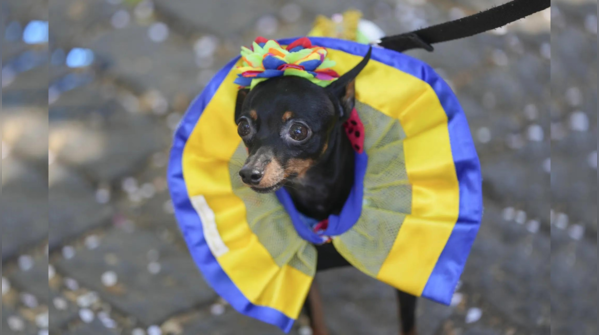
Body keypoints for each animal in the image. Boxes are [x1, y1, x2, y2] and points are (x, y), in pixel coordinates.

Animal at [234, 48, 418, 335]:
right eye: (243, 127)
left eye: (299, 131)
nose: (249, 173)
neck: (315, 192)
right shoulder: (305, 275)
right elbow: (318, 322)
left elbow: (409, 325)